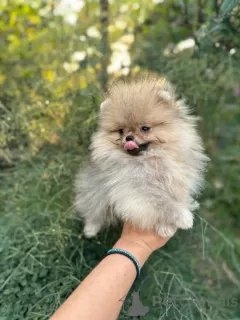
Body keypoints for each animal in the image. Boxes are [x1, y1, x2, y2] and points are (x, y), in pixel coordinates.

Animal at [75, 77, 208, 238]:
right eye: (121, 131)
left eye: (145, 128)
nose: (128, 137)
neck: (149, 159)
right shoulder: (138, 190)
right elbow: (162, 201)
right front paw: (182, 217)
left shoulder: (177, 179)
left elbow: (176, 197)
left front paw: (166, 226)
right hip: (94, 190)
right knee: (93, 210)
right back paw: (90, 229)